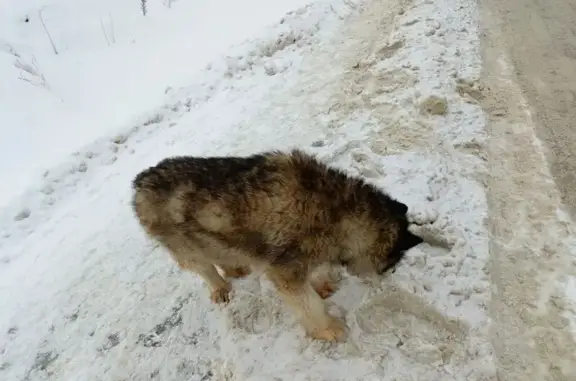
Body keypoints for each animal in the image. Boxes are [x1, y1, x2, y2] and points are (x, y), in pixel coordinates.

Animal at [132, 148, 424, 342]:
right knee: (203, 268)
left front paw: (321, 282)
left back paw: (235, 268)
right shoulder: (285, 271)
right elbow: (308, 303)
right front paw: (328, 328)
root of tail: (140, 181)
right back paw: (220, 287)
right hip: (184, 246)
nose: (387, 275)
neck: (336, 212)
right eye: (392, 264)